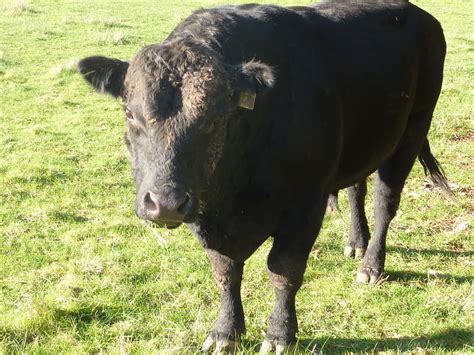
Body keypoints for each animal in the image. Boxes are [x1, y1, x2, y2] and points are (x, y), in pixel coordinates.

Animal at [78, 0, 448, 354]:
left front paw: (281, 335)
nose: (165, 203)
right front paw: (225, 332)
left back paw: (371, 266)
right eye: (130, 113)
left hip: (413, 128)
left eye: (216, 117)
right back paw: (356, 242)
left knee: (385, 202)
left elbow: (284, 270)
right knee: (357, 187)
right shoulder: (208, 217)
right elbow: (225, 271)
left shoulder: (305, 206)